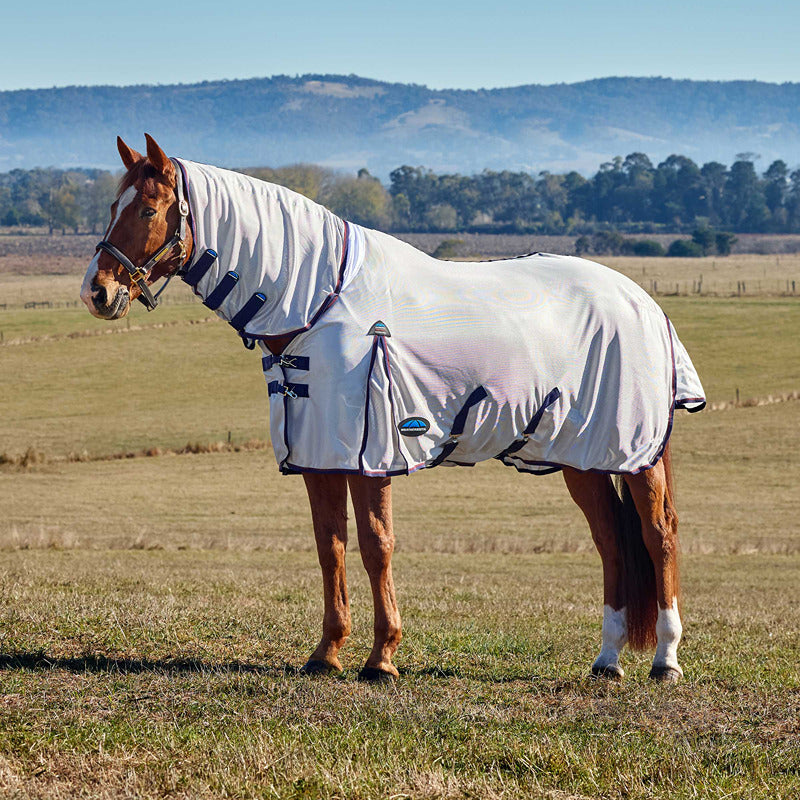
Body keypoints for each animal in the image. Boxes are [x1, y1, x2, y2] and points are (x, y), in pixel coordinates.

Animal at [81, 134, 706, 684]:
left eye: (149, 209)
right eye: (113, 205)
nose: (97, 292)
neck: (320, 300)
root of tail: (643, 301)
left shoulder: (372, 453)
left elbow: (376, 547)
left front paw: (382, 658)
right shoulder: (320, 453)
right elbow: (330, 546)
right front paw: (327, 654)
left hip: (637, 453)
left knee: (658, 535)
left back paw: (666, 661)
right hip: (582, 456)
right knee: (611, 543)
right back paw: (607, 662)